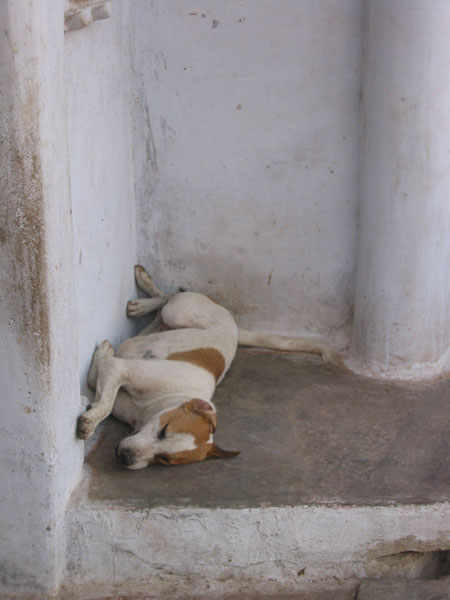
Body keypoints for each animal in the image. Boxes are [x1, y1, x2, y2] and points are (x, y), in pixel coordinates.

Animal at [77, 265, 342, 468]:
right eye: (163, 430)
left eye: (164, 459)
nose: (124, 457)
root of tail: (233, 325)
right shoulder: (120, 367)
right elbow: (103, 399)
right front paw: (89, 420)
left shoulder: (116, 372)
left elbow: (97, 383)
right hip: (180, 312)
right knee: (171, 298)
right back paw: (144, 298)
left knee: (161, 314)